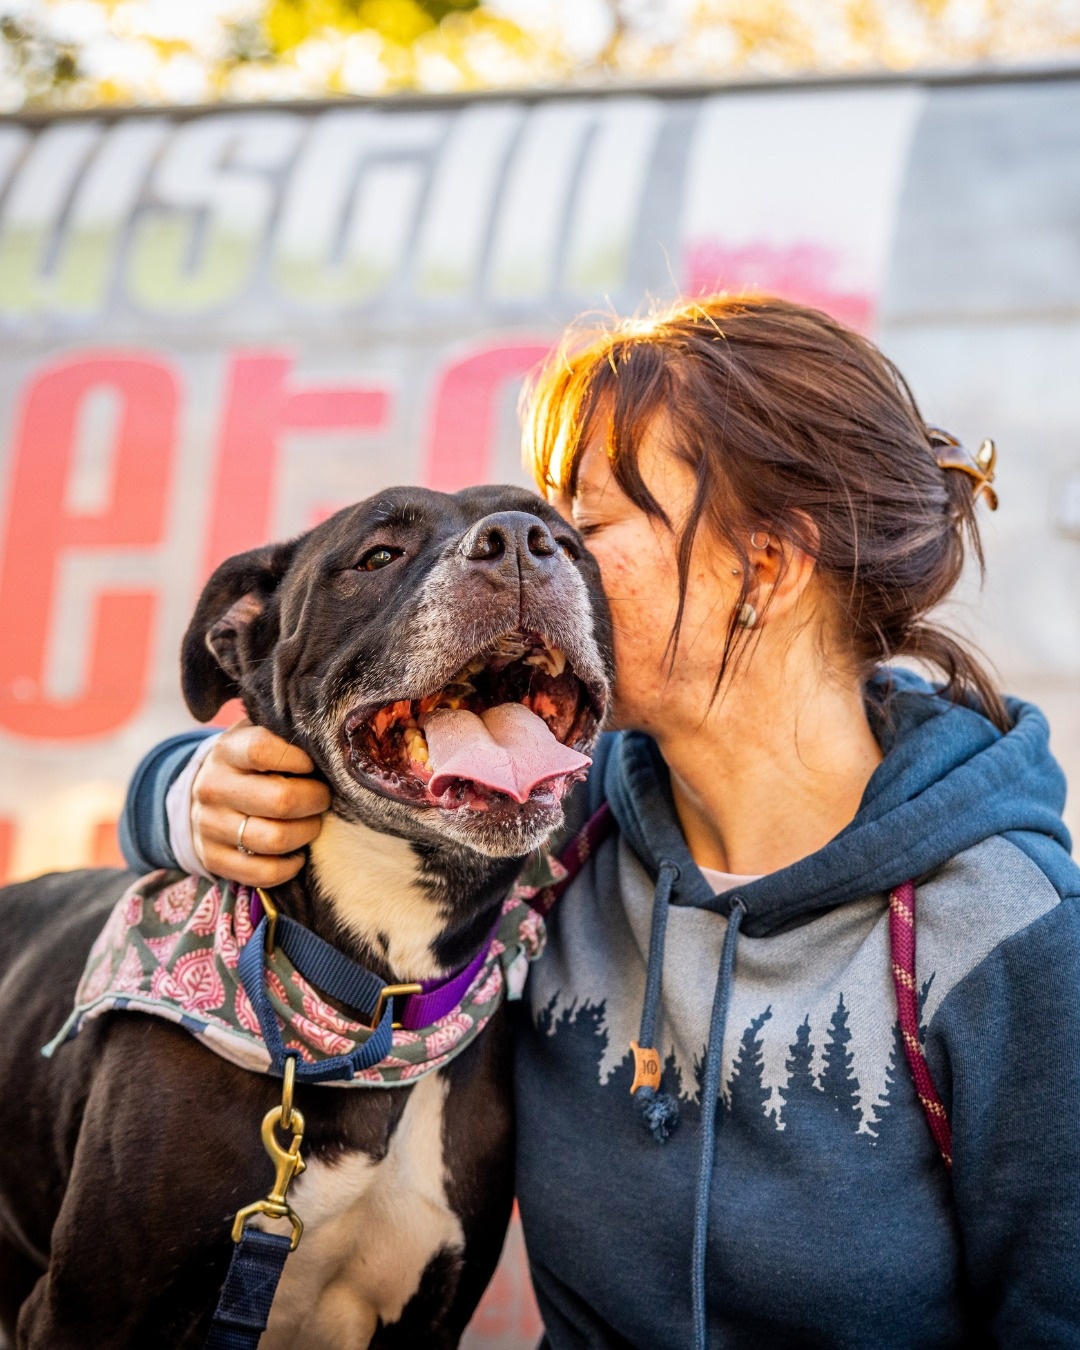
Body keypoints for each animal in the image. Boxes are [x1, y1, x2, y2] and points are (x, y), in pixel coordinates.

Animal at [0, 488, 612, 1350]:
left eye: (570, 543)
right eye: (378, 555)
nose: (525, 543)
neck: (376, 1001)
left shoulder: (425, 1319)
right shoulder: (87, 1313)